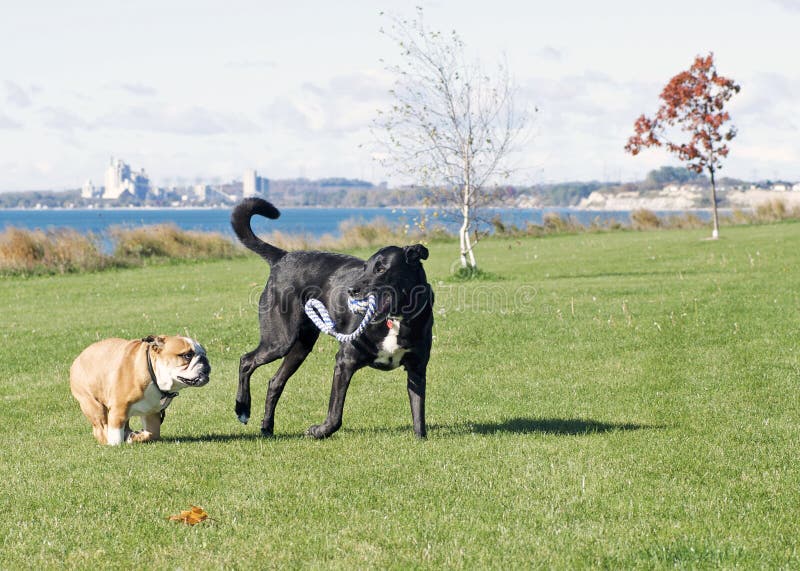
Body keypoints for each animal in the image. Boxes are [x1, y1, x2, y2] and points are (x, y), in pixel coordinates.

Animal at [228, 199, 434, 440]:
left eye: (381, 269)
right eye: (365, 268)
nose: (351, 290)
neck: (396, 319)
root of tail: (283, 257)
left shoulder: (417, 369)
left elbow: (418, 412)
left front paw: (421, 439)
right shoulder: (344, 362)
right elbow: (335, 414)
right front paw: (319, 431)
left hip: (301, 345)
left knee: (275, 382)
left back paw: (267, 427)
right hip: (279, 340)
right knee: (246, 361)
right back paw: (242, 408)